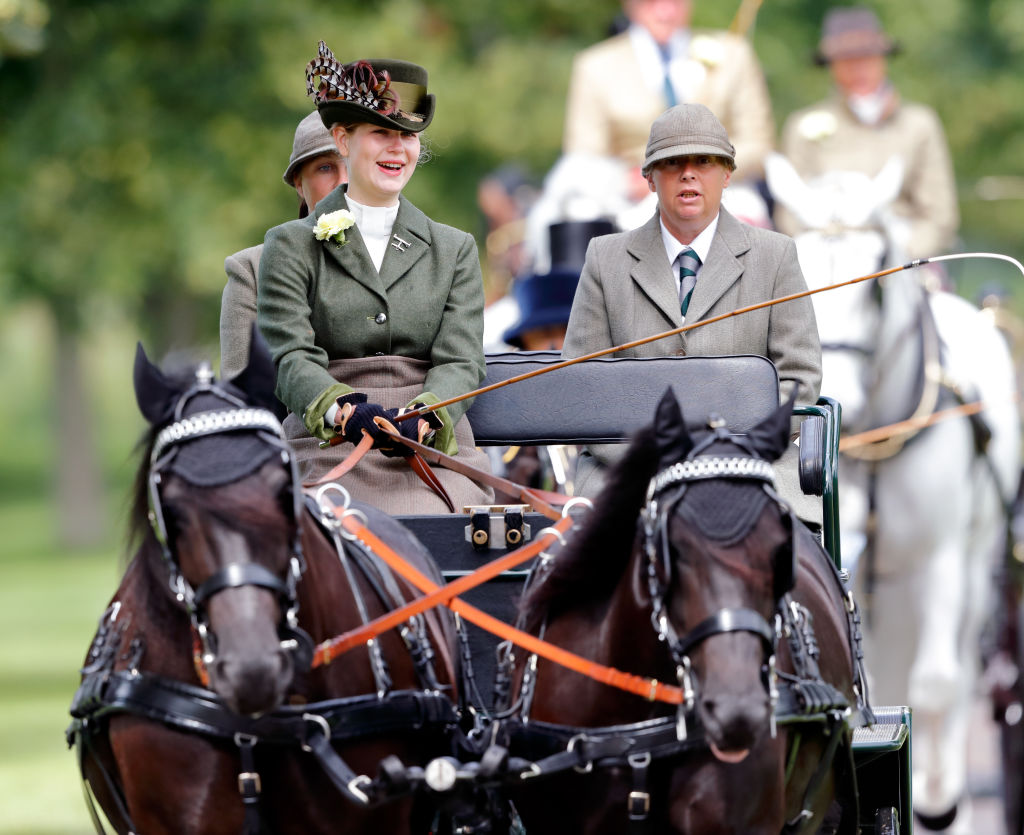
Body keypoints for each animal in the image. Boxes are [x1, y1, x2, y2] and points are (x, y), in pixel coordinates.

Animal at [770, 153, 1015, 831]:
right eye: (797, 265)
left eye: (878, 273)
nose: (843, 407)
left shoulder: (940, 562)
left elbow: (934, 684)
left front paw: (935, 799)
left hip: (972, 569)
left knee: (955, 677)